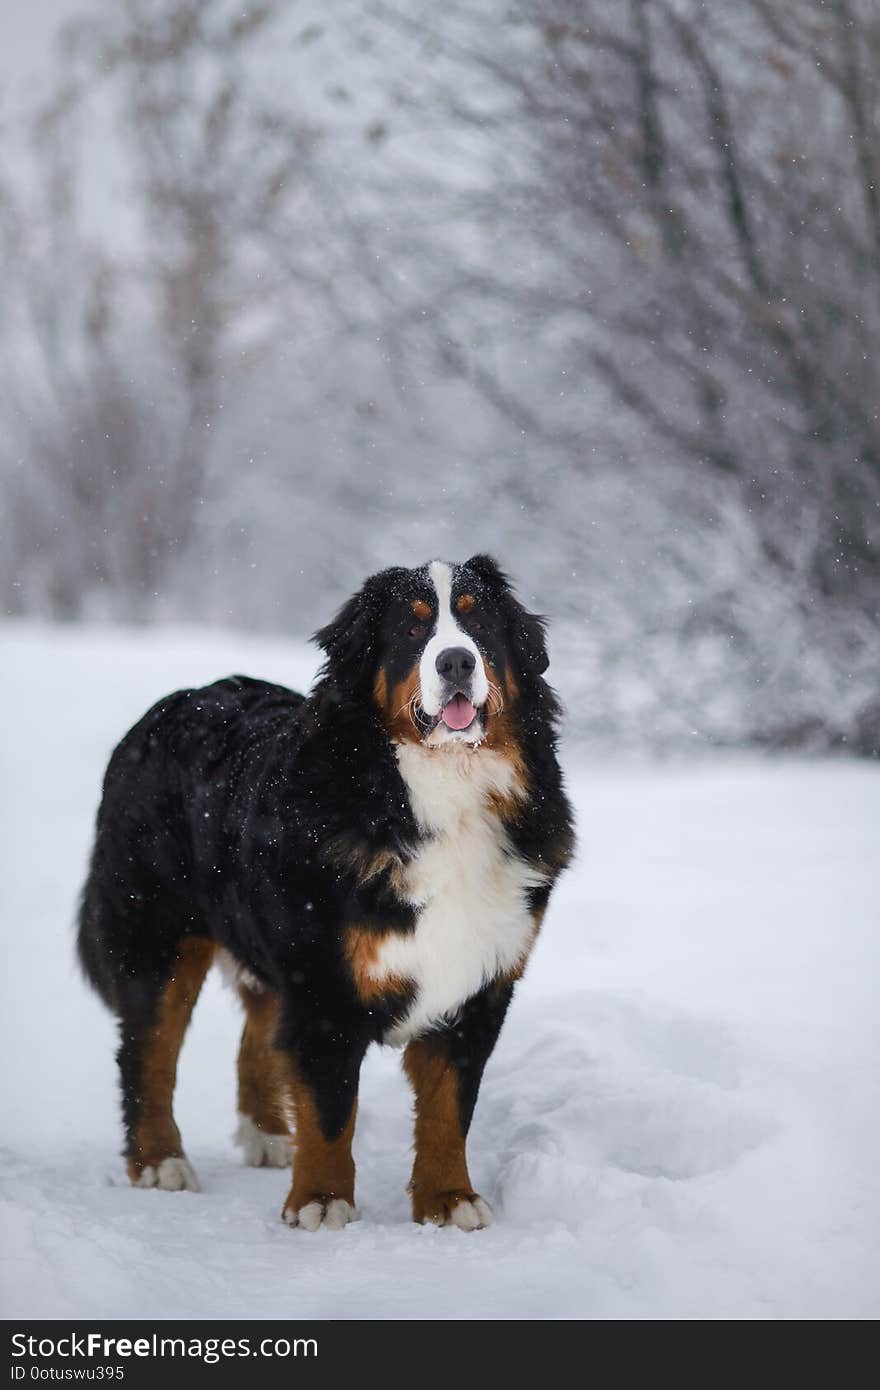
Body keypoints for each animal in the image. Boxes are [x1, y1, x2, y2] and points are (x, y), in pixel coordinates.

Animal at [78, 553, 572, 1228]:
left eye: (479, 625)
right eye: (412, 629)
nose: (455, 662)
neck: (439, 794)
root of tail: (179, 702)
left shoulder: (477, 983)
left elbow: (449, 1109)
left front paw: (449, 1199)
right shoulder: (323, 981)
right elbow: (331, 1106)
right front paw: (321, 1199)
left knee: (254, 1038)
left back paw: (265, 1136)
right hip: (159, 936)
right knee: (147, 1052)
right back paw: (159, 1161)